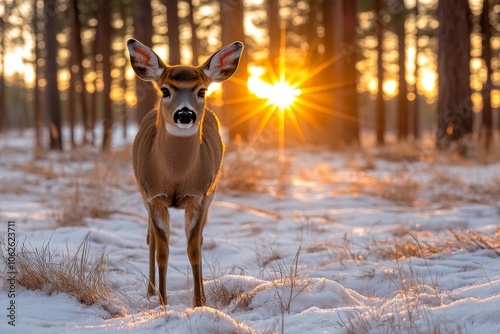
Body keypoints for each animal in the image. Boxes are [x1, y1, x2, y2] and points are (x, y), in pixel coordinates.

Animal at [126, 37, 241, 306]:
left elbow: (194, 249)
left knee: (198, 239)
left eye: (202, 91)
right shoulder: (153, 196)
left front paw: (199, 302)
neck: (176, 176)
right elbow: (162, 251)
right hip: (143, 194)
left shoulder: (198, 197)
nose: (185, 114)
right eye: (165, 90)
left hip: (211, 193)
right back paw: (150, 292)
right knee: (150, 239)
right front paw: (162, 303)